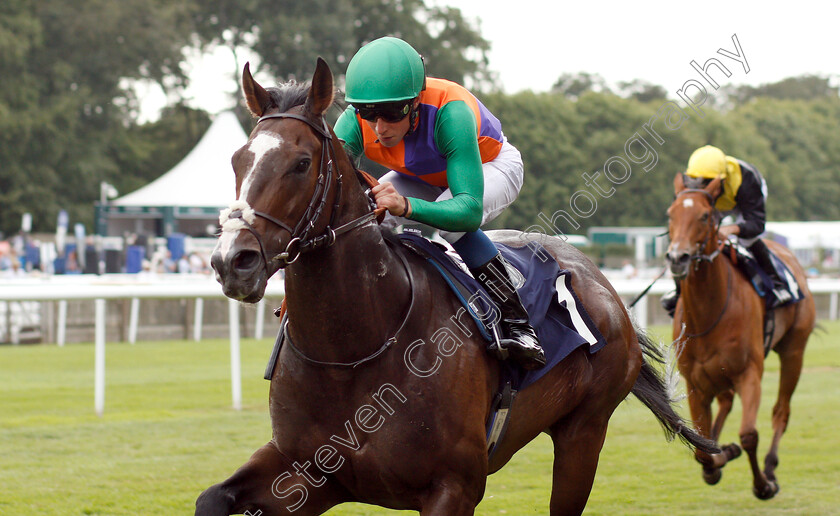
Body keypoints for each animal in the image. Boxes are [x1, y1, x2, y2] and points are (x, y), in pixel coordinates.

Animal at [197, 58, 716, 512]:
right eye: (237, 160)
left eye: (301, 163)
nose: (231, 261)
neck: (352, 351)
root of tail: (600, 282)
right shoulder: (307, 472)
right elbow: (213, 498)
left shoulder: (454, 487)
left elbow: (465, 208)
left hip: (583, 434)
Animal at [664, 173, 812, 500]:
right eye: (670, 214)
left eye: (705, 216)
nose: (678, 257)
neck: (709, 312)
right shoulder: (696, 384)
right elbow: (702, 448)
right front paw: (720, 455)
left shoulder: (749, 374)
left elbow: (748, 435)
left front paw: (763, 484)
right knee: (727, 403)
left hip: (794, 351)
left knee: (781, 411)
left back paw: (770, 468)